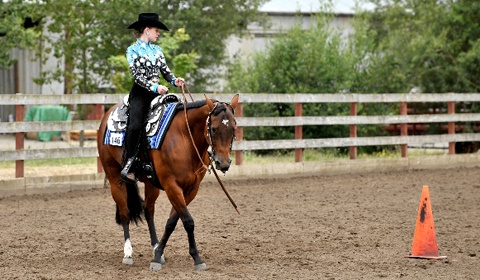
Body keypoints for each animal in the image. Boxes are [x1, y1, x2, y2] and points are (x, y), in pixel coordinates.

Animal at [96, 93, 239, 270]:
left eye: (234, 128)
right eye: (213, 128)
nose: (223, 163)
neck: (185, 138)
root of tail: (109, 113)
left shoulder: (191, 189)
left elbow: (172, 221)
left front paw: (159, 254)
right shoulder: (172, 186)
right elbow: (188, 221)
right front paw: (197, 259)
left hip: (151, 183)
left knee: (148, 210)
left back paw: (155, 245)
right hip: (114, 177)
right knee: (125, 213)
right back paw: (128, 253)